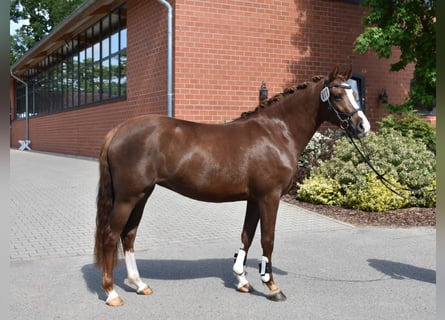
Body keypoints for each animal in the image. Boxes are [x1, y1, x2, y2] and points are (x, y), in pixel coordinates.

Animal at [94, 66, 372, 306]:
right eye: (337, 95)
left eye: (354, 93)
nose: (363, 127)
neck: (275, 133)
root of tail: (118, 130)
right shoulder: (269, 197)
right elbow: (267, 239)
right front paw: (273, 287)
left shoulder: (254, 199)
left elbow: (246, 236)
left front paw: (242, 280)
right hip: (128, 197)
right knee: (110, 235)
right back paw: (111, 293)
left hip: (142, 195)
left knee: (128, 235)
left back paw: (139, 284)